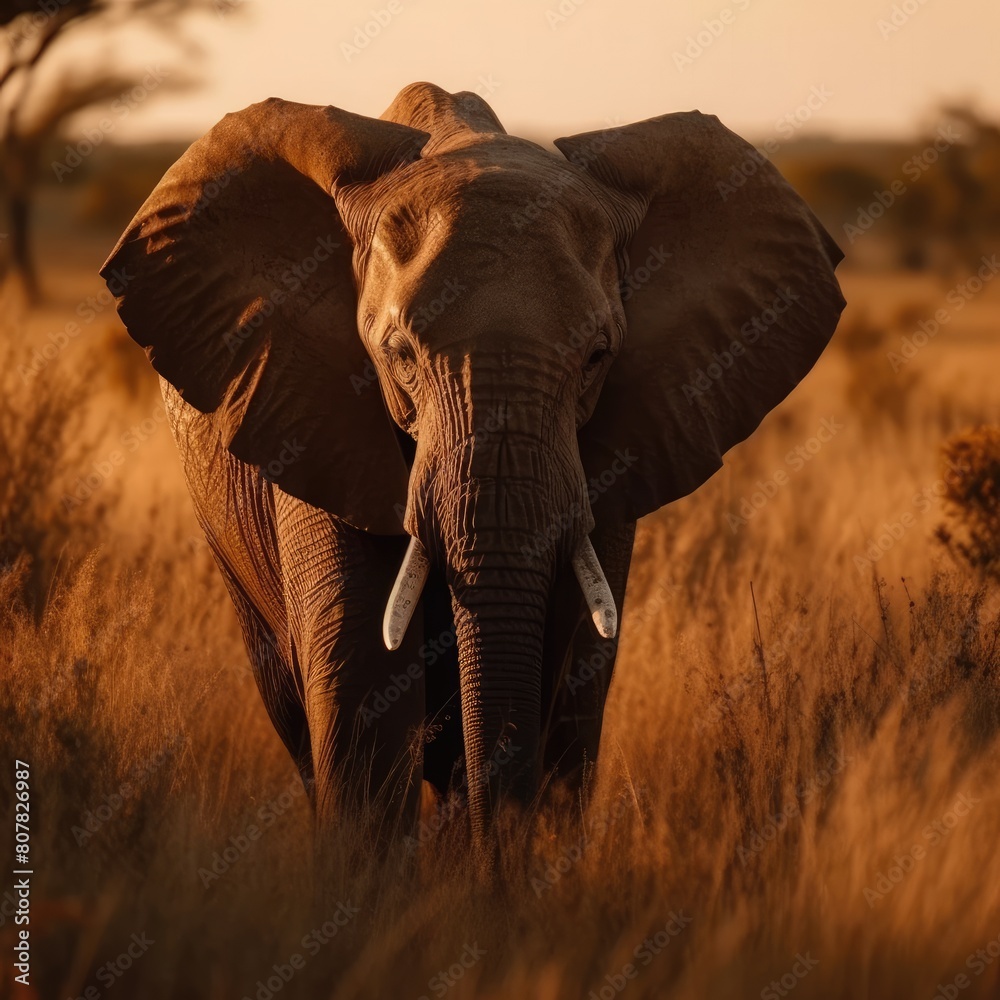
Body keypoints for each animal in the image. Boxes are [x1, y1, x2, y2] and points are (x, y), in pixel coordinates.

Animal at [102, 82, 845, 860]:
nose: (497, 863)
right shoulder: (310, 416)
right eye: (398, 353)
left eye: (598, 356)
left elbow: (563, 674)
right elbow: (362, 687)